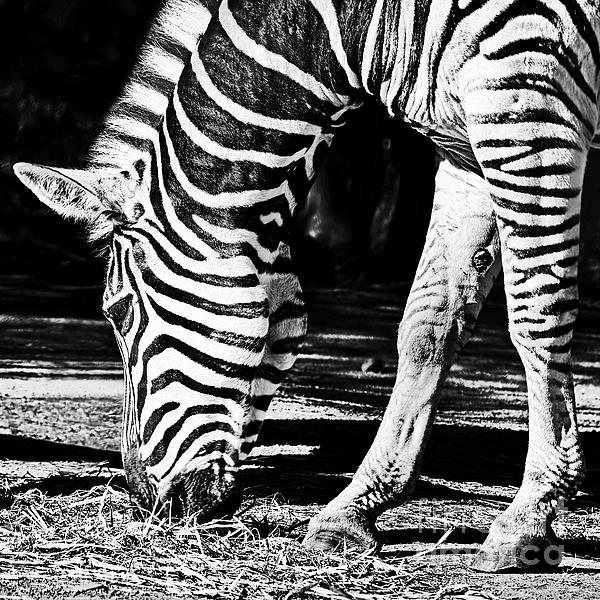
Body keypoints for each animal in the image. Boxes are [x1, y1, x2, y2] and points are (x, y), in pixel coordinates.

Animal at [12, 0, 600, 572]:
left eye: (119, 313)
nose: (144, 499)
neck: (366, 22)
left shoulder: (527, 94)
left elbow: (537, 312)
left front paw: (527, 518)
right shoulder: (464, 146)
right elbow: (429, 326)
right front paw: (353, 513)